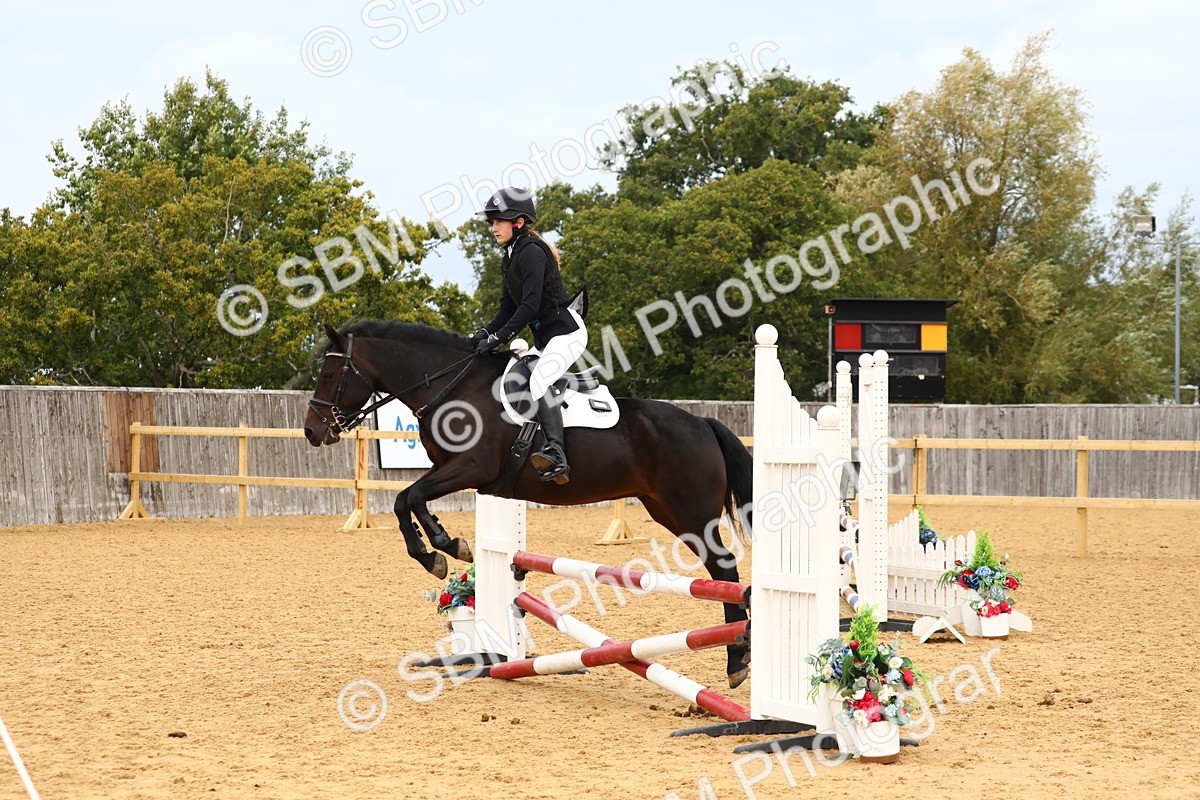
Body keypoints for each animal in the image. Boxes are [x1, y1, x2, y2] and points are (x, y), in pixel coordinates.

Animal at [303, 321, 755, 687]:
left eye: (328, 373)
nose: (311, 431)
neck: (454, 387)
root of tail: (703, 423)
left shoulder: (472, 467)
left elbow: (410, 496)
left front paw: (443, 548)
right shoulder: (455, 470)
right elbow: (406, 500)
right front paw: (440, 553)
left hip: (691, 513)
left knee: (725, 570)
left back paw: (737, 660)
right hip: (664, 509)